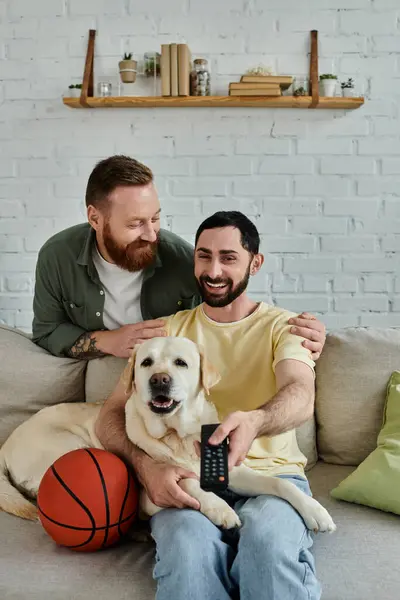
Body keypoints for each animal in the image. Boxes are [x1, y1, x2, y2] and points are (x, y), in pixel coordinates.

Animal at [0, 338, 334, 536]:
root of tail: (5, 444)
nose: (159, 380)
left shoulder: (233, 470)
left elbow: (279, 484)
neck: (178, 435)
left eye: (181, 363)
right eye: (146, 362)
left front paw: (314, 511)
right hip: (71, 446)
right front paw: (221, 508)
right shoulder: (156, 488)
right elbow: (187, 482)